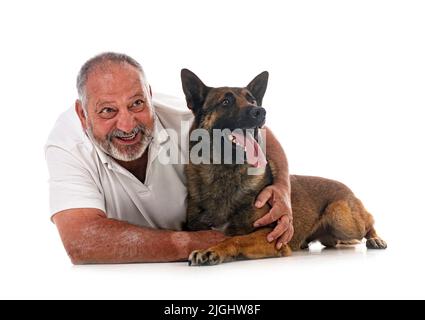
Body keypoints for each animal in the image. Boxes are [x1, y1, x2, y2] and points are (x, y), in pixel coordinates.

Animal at [181, 69, 386, 266]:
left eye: (252, 100)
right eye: (226, 101)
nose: (260, 111)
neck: (225, 171)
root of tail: (347, 188)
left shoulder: (271, 235)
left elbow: (235, 239)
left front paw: (212, 251)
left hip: (341, 218)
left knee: (368, 222)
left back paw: (376, 238)